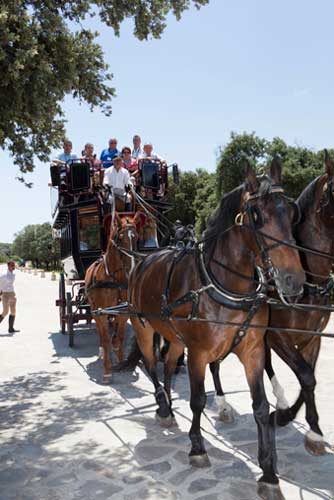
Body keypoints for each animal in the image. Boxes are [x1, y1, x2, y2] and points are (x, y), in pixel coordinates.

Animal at [126, 160, 304, 484]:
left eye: (292, 211)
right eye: (256, 215)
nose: (293, 280)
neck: (224, 285)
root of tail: (142, 260)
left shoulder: (253, 351)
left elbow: (261, 407)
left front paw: (268, 470)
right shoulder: (198, 353)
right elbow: (197, 399)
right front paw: (197, 447)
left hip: (174, 337)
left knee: (168, 366)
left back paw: (169, 403)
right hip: (143, 327)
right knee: (151, 363)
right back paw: (162, 405)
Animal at [211, 150, 334, 456]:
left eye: (292, 214)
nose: (292, 282)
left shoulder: (313, 337)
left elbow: (309, 378)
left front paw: (313, 430)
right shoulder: (278, 335)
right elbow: (305, 376)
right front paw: (287, 417)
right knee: (214, 362)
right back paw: (223, 404)